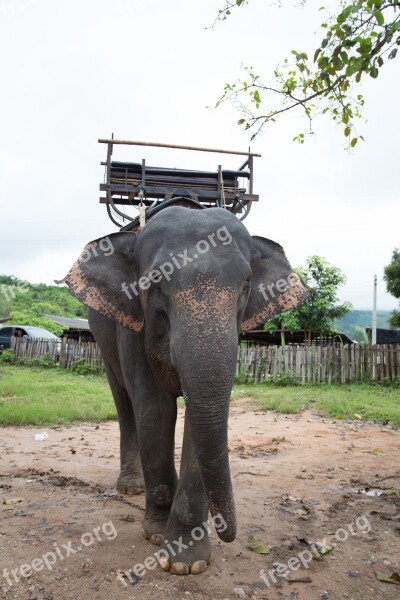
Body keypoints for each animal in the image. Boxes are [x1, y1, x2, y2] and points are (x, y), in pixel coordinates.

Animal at [63, 207, 306, 576]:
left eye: (246, 284)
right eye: (155, 282)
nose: (228, 532)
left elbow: (199, 415)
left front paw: (187, 561)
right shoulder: (134, 325)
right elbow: (155, 411)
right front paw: (155, 535)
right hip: (103, 339)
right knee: (124, 404)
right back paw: (131, 487)